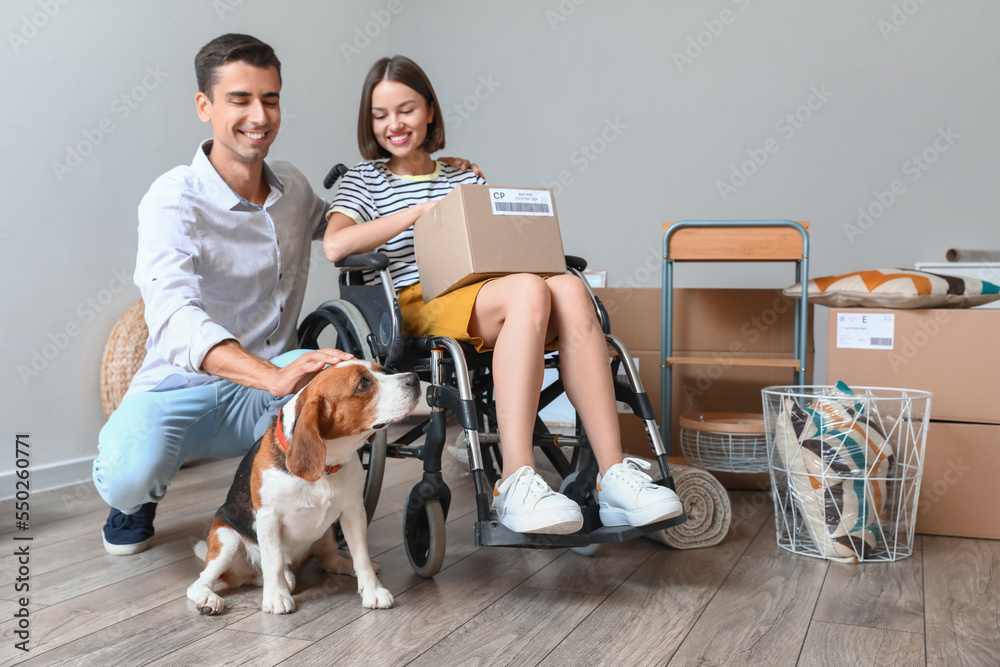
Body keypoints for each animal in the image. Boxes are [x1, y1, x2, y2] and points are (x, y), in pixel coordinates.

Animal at [187, 362, 418, 612]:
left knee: (330, 561)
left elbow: (361, 555)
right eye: (363, 384)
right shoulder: (268, 517)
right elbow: (274, 560)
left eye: (381, 370)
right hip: (226, 540)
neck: (327, 466)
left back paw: (344, 566)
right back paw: (209, 598)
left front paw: (372, 590)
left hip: (327, 531)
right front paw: (276, 597)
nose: (414, 378)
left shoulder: (353, 511)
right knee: (201, 582)